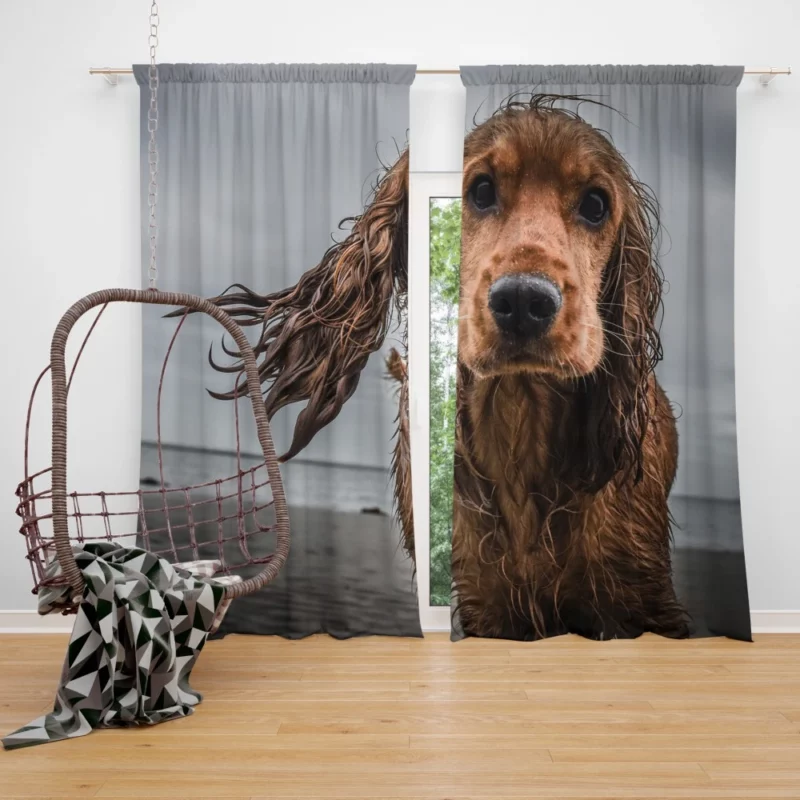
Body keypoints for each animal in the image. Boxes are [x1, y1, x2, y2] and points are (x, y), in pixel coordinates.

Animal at [209, 95, 692, 644]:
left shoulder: (635, 591)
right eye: (479, 191)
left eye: (595, 205)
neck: (520, 420)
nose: (524, 302)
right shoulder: (485, 598)